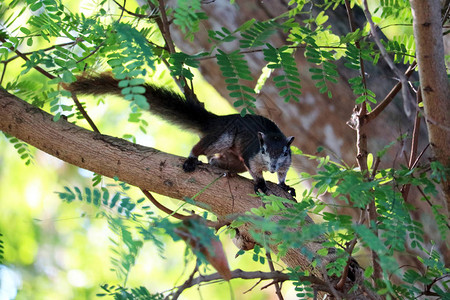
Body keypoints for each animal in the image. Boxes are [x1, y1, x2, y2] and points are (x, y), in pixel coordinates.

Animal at [67, 73, 296, 196]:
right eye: (263, 150)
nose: (272, 167)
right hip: (224, 137)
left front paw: (284, 186)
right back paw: (193, 158)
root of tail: (217, 120)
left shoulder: (285, 164)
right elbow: (255, 171)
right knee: (203, 147)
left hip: (233, 156)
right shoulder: (251, 155)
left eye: (285, 153)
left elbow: (283, 176)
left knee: (219, 160)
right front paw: (260, 182)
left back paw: (219, 166)